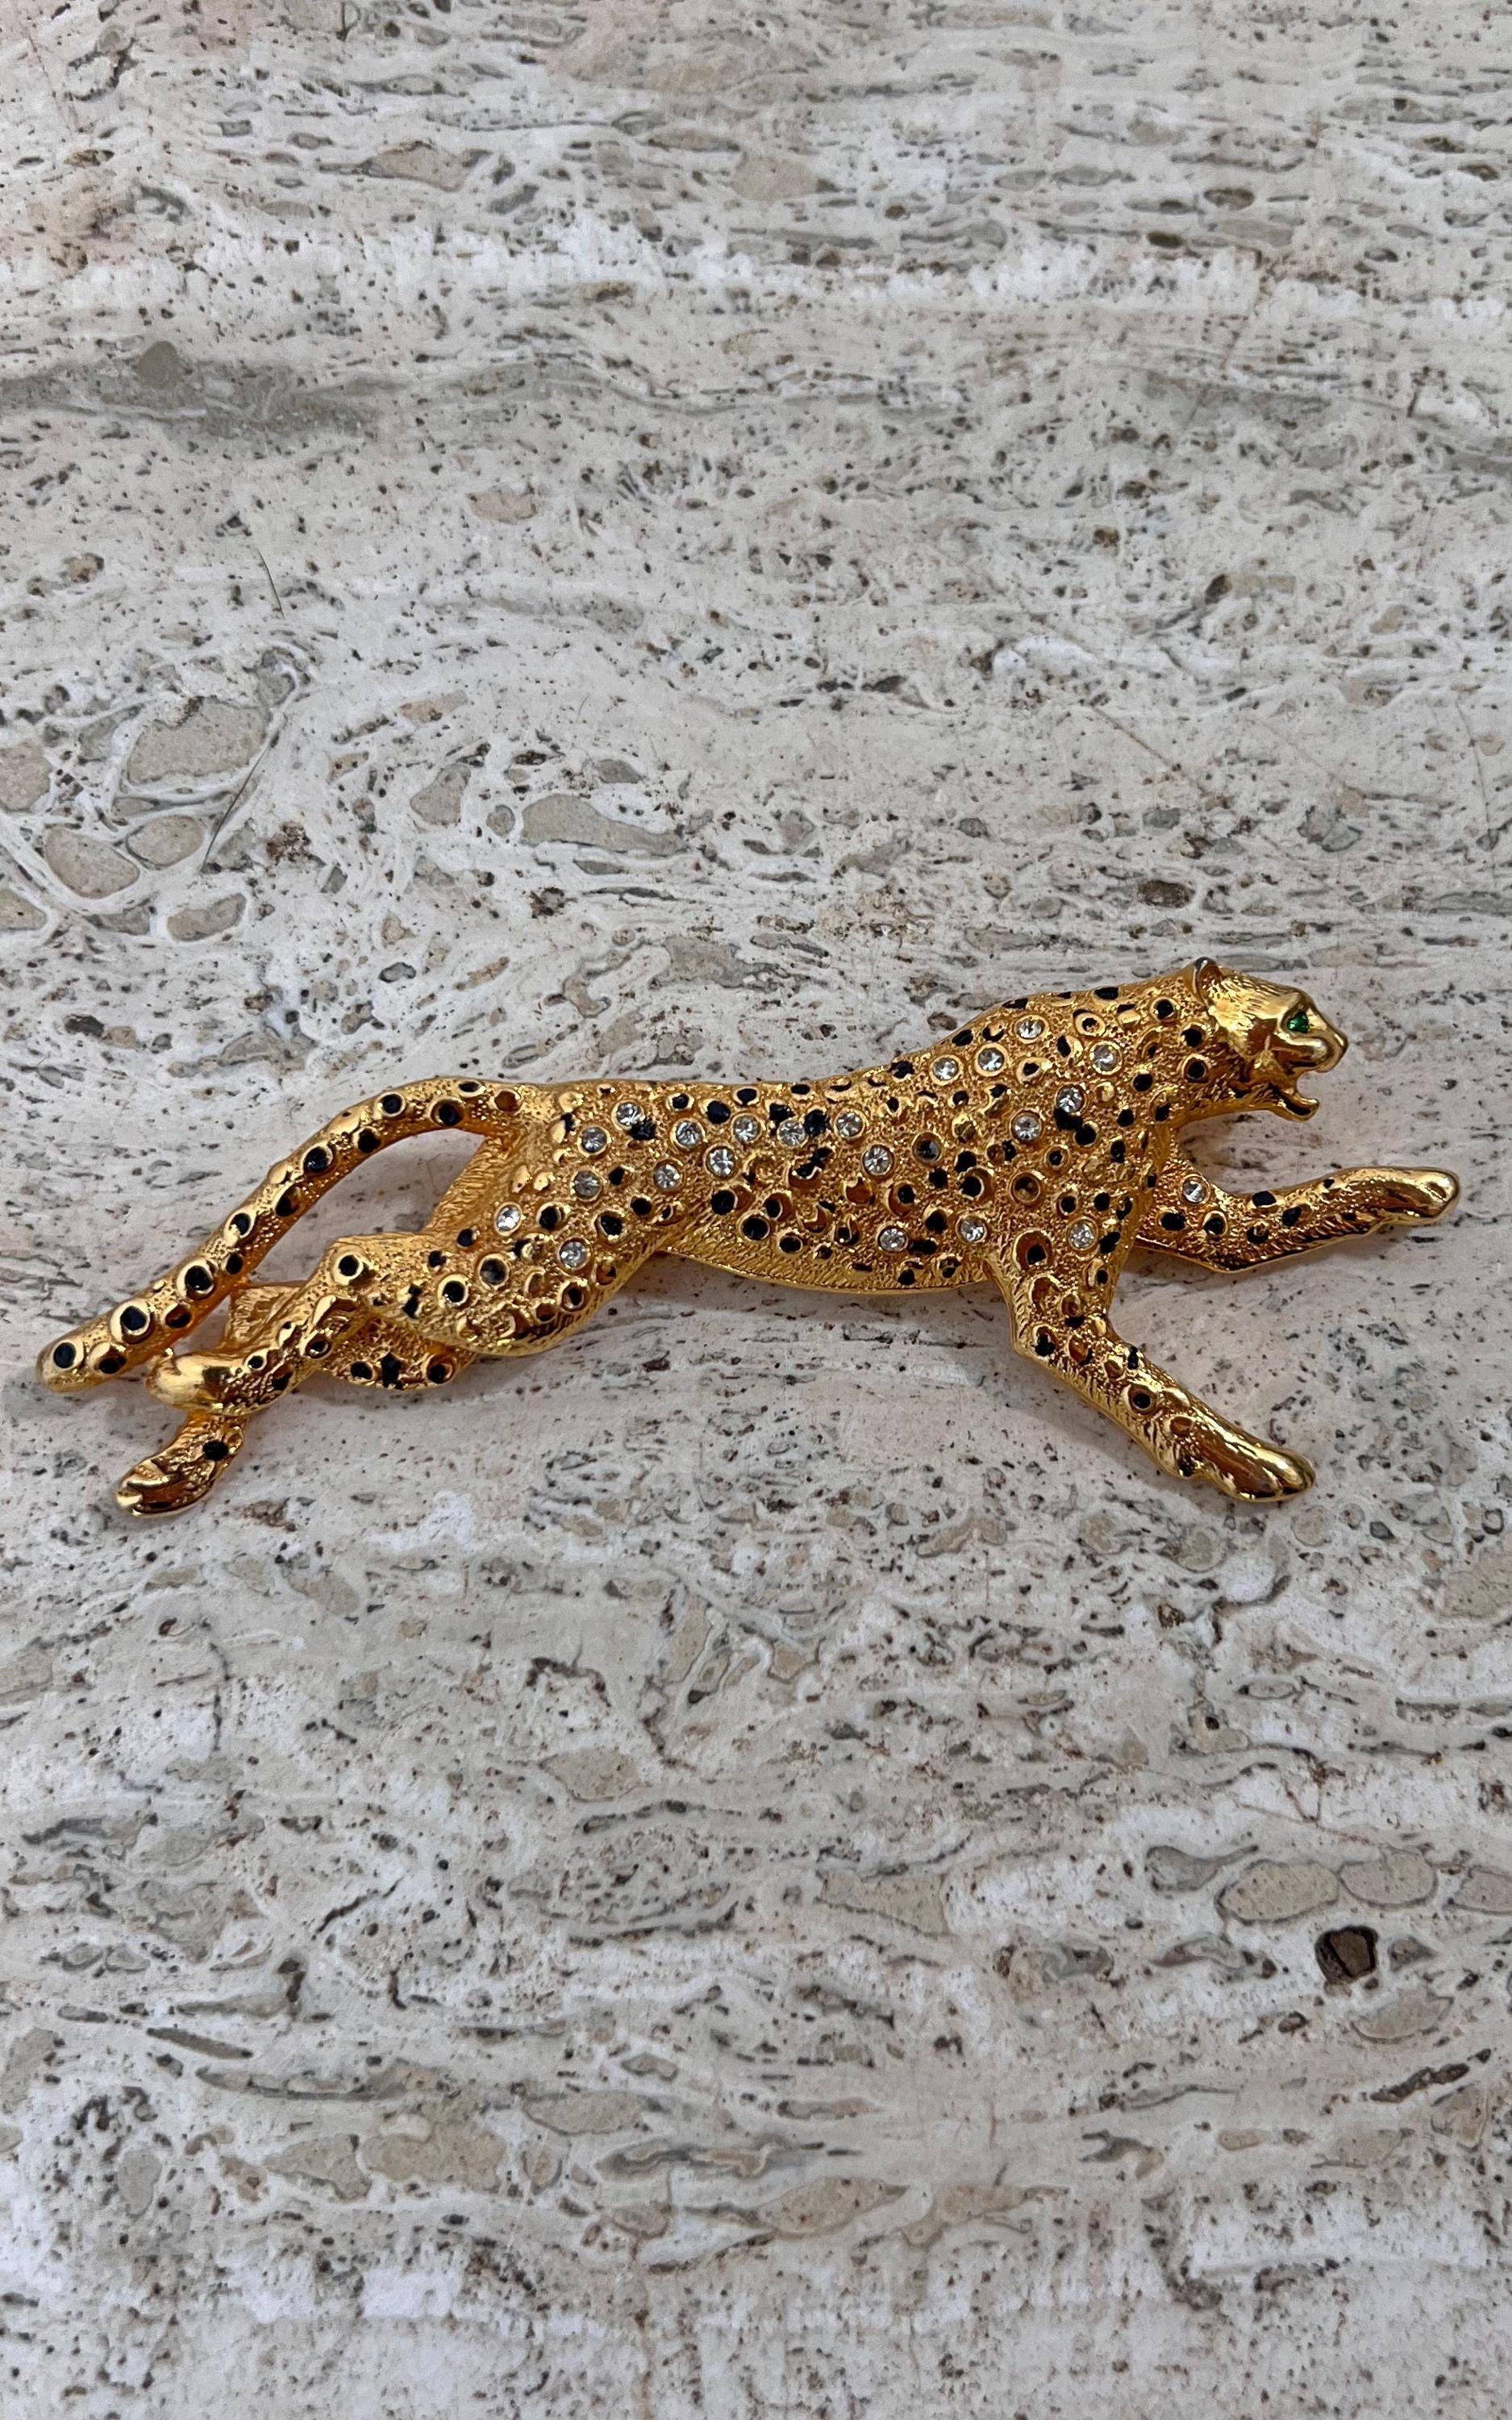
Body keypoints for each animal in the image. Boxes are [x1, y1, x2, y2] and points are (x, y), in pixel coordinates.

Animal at [37, 959, 1458, 1517]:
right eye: (1295, 1015)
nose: (1336, 1036)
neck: (1135, 1058)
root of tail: (543, 1095)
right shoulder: (1057, 1307)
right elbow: (1140, 1384)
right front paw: (1238, 1457)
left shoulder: (1184, 1219)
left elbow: (1284, 1217)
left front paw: (1403, 1188)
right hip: (524, 1284)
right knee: (340, 1267)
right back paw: (197, 1383)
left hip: (488, 1297)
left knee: (287, 1298)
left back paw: (190, 1426)